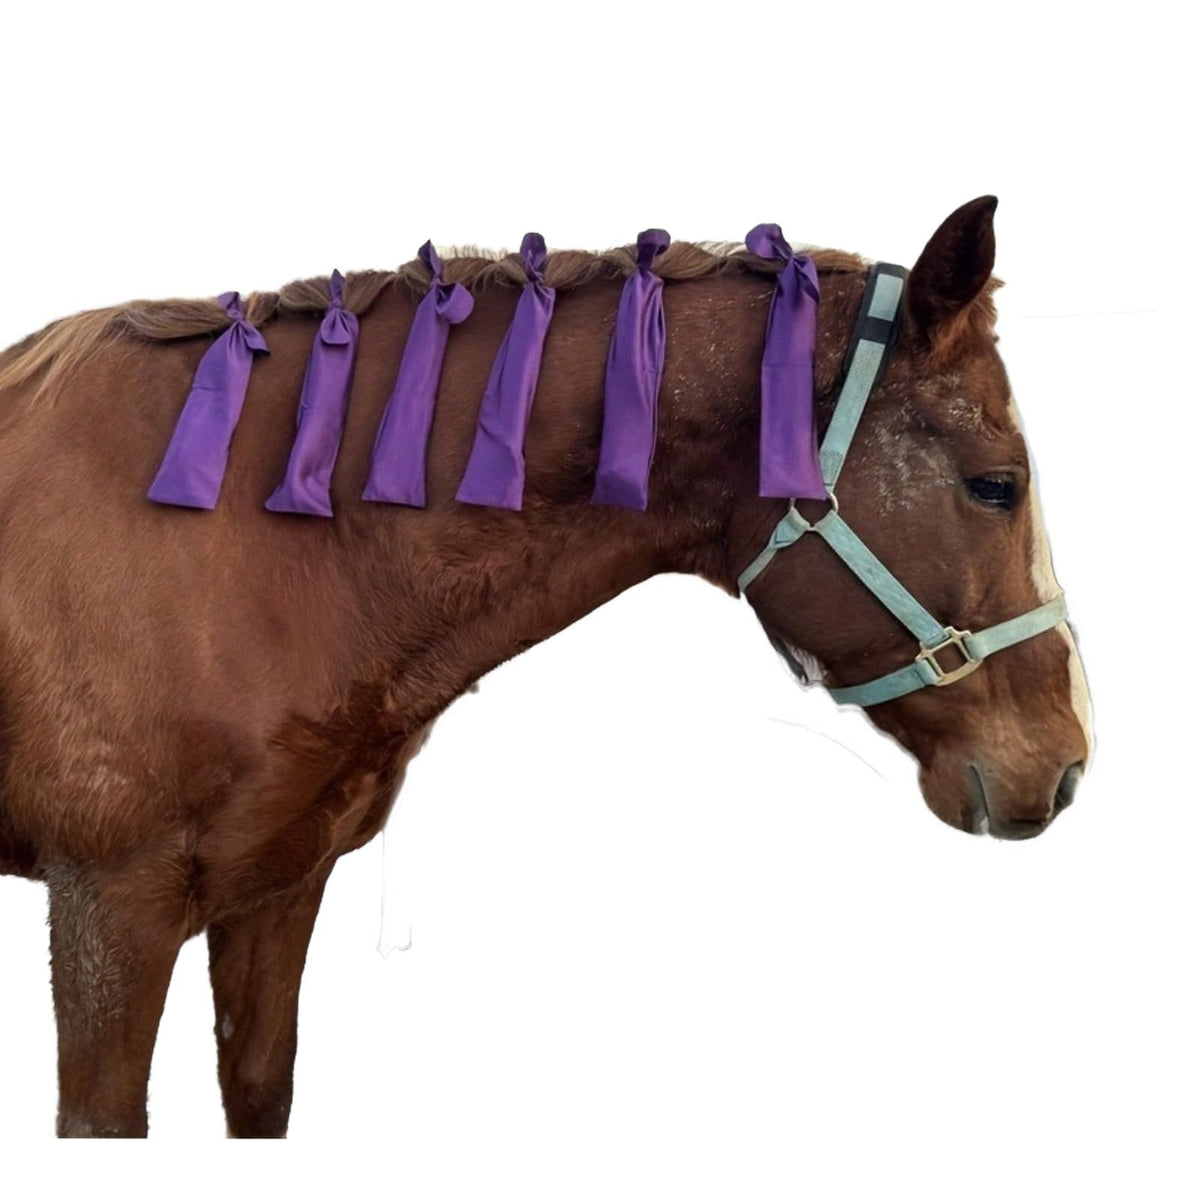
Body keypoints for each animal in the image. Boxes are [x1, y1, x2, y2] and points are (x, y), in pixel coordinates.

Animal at [0, 196, 1091, 1137]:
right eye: (997, 485)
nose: (1067, 764)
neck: (252, 538)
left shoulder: (276, 890)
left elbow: (260, 1091)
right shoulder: (112, 913)